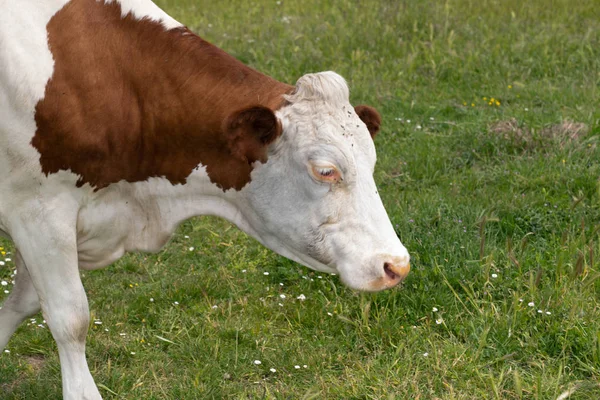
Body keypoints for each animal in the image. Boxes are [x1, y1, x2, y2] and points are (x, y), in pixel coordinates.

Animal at [0, 0, 408, 396]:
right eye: (325, 170)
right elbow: (70, 318)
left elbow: (24, 301)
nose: (397, 265)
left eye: (371, 162)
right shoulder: (38, 210)